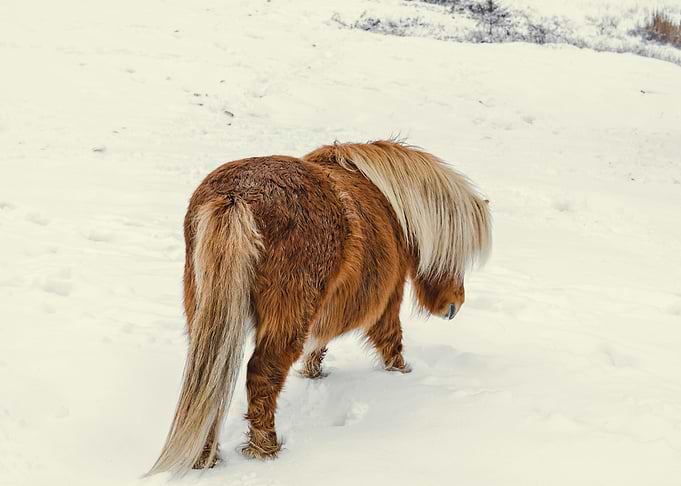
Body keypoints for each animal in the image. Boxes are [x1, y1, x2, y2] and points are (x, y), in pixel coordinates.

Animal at [147, 139, 492, 476]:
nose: (454, 305)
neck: (392, 209)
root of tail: (236, 196)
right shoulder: (387, 300)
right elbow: (391, 340)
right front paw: (402, 374)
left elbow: (320, 342)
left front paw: (313, 372)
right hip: (287, 315)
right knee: (262, 374)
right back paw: (265, 449)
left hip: (209, 315)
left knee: (212, 380)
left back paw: (205, 457)